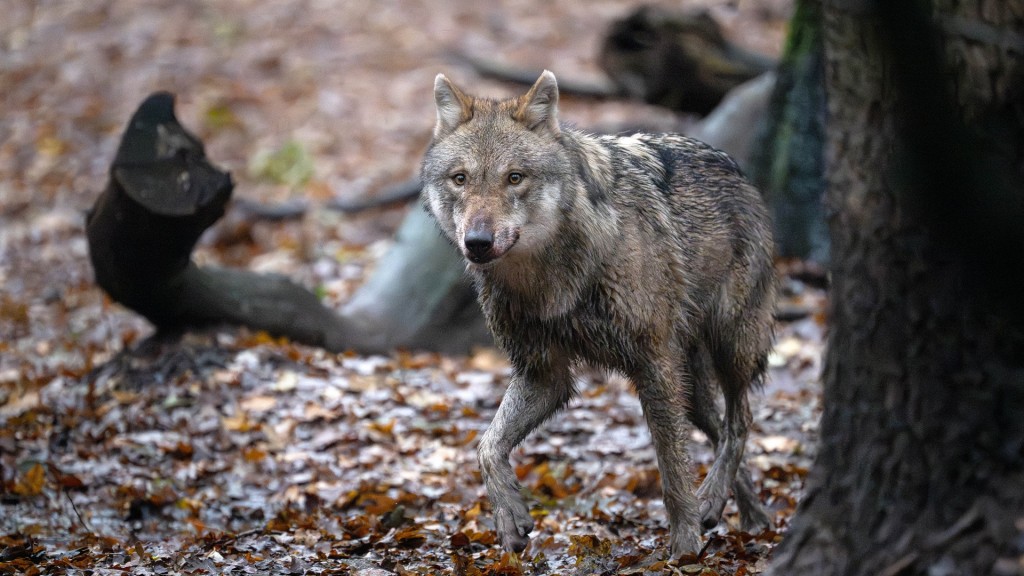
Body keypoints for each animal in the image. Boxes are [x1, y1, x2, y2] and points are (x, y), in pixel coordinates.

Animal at [421, 70, 776, 556]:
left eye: (514, 178)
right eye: (460, 179)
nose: (477, 242)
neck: (548, 280)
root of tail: (738, 171)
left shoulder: (652, 363)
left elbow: (671, 470)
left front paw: (684, 546)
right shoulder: (543, 374)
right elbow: (487, 446)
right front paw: (509, 516)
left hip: (730, 347)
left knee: (741, 422)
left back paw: (715, 504)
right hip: (692, 387)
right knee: (721, 430)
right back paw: (745, 514)